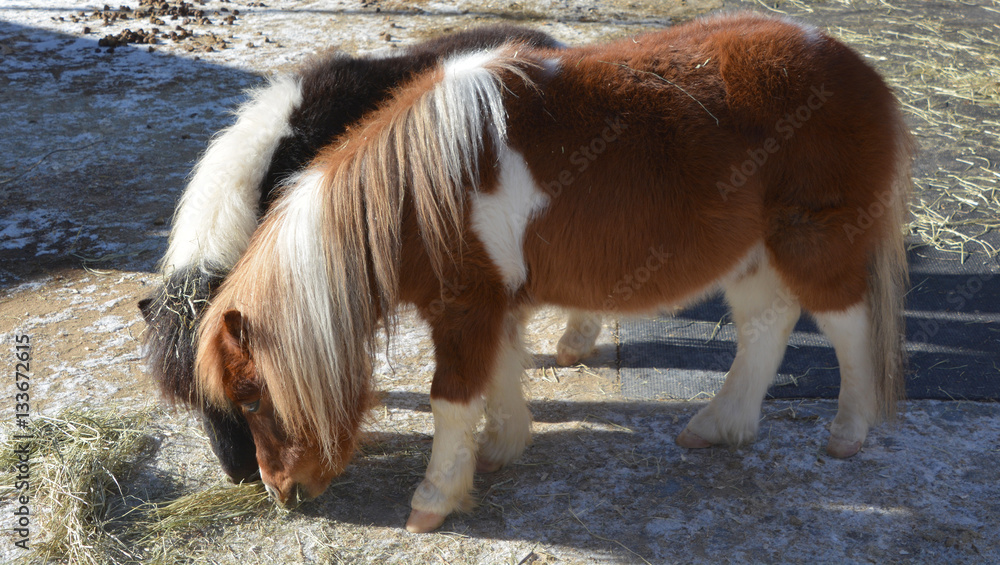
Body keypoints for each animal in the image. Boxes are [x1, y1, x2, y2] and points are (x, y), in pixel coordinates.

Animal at [194, 11, 912, 533]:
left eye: (252, 396)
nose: (281, 491)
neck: (421, 190)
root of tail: (859, 70)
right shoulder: (495, 303)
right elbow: (501, 373)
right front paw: (500, 447)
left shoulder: (465, 306)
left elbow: (451, 397)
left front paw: (434, 498)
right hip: (751, 255)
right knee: (766, 326)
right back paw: (718, 425)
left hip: (815, 242)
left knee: (847, 327)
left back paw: (847, 435)